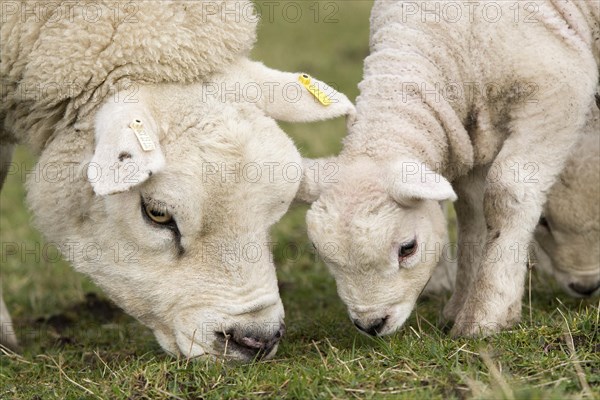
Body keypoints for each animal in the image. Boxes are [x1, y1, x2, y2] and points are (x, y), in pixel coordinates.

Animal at [298, 0, 596, 338]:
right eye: (319, 251)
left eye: (408, 248)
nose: (371, 324)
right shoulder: (471, 127)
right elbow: (472, 210)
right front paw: (461, 306)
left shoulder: (557, 91)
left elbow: (507, 193)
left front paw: (486, 313)